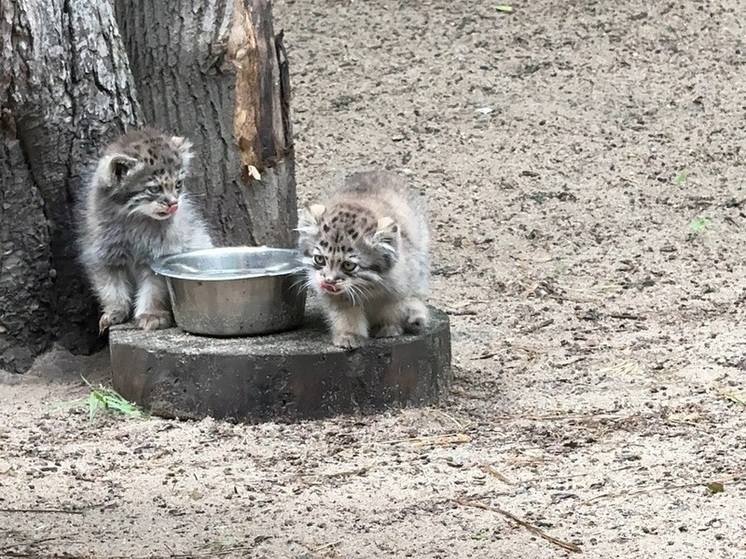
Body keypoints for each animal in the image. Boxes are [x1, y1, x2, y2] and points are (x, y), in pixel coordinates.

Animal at [294, 170, 428, 350]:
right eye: (320, 259)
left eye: (348, 265)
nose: (329, 281)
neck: (367, 284)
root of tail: (378, 171)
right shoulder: (335, 293)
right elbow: (346, 311)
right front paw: (350, 334)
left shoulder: (399, 285)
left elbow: (391, 306)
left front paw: (387, 326)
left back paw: (416, 316)